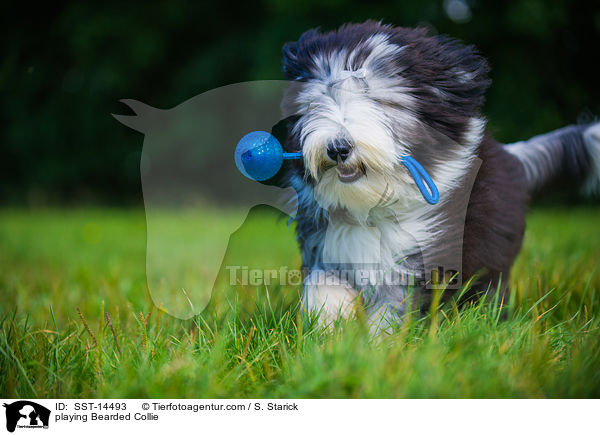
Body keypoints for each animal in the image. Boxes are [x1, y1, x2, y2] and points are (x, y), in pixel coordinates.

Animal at [268, 21, 600, 330]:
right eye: (318, 102)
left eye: (384, 103)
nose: (338, 148)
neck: (371, 206)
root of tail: (511, 156)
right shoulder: (324, 245)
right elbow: (321, 284)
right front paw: (327, 332)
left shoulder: (417, 257)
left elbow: (392, 307)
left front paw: (376, 346)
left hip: (492, 257)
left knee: (488, 292)